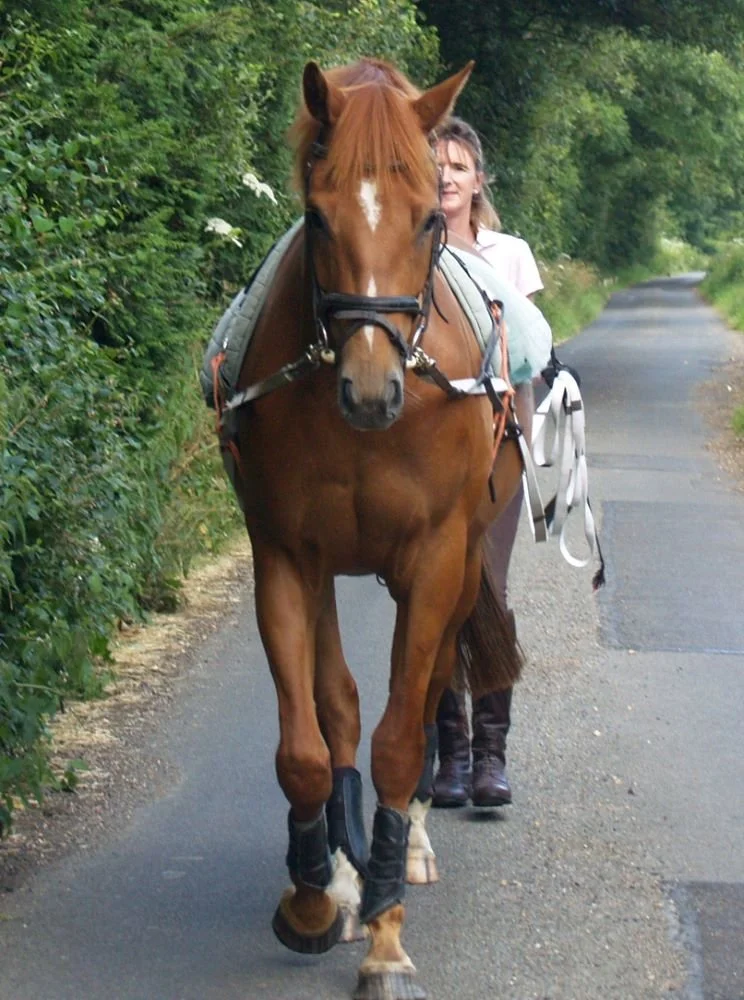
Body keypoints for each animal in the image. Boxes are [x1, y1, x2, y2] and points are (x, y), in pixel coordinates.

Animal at [219, 58, 524, 1000]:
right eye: (317, 214)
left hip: (459, 579)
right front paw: (316, 897)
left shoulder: (433, 565)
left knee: (427, 705)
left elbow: (397, 742)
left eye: (429, 215)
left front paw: (387, 939)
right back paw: (347, 873)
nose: (369, 388)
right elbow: (312, 747)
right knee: (341, 711)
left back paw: (405, 849)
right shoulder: (288, 561)